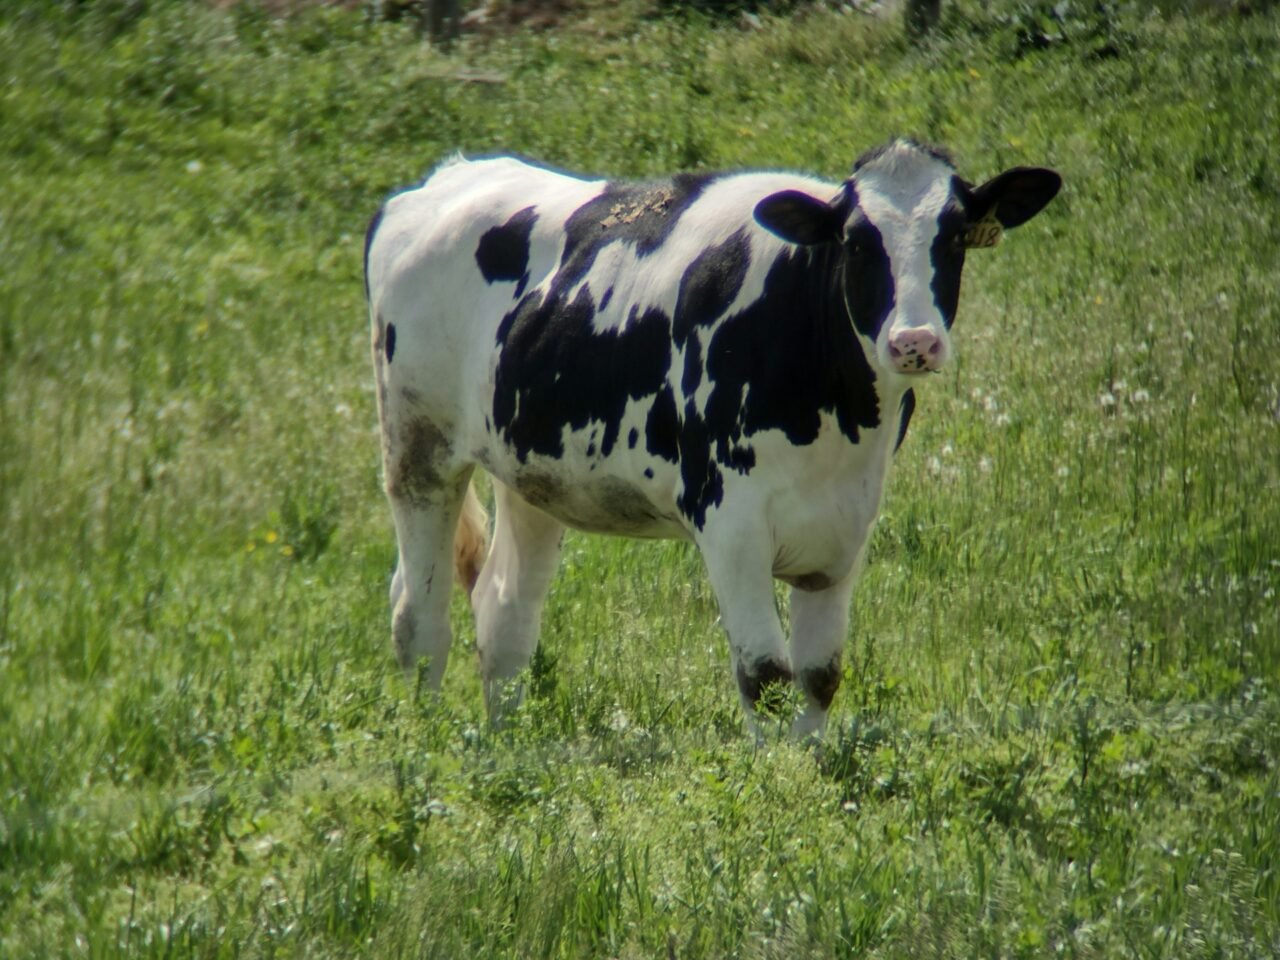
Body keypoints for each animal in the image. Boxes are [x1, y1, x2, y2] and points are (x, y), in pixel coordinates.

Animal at [364, 138, 1060, 738]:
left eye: (955, 235)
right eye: (858, 242)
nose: (914, 341)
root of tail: (446, 177)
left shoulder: (846, 526)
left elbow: (819, 677)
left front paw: (810, 775)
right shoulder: (729, 520)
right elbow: (765, 677)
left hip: (531, 467)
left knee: (504, 612)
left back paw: (507, 745)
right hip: (418, 445)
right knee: (418, 616)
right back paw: (429, 743)